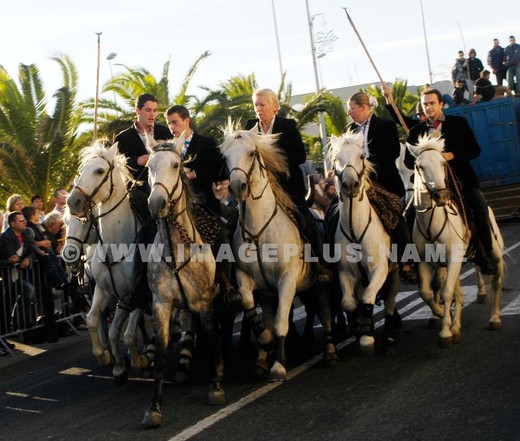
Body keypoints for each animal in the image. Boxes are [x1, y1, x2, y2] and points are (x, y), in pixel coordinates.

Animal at [66, 142, 149, 382]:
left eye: (99, 171)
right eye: (81, 171)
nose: (73, 201)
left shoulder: (134, 293)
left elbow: (126, 334)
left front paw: (138, 360)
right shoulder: (104, 290)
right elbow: (94, 321)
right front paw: (109, 359)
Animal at [142, 136, 225, 428]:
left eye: (176, 165)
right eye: (149, 166)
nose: (157, 203)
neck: (176, 249)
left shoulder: (206, 300)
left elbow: (212, 338)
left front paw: (215, 387)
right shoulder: (161, 305)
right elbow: (161, 353)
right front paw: (153, 408)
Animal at [219, 125, 338, 380]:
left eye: (251, 153)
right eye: (225, 157)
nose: (236, 187)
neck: (259, 232)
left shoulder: (287, 280)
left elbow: (281, 321)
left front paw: (278, 365)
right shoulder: (247, 281)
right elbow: (255, 313)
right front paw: (264, 345)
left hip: (320, 285)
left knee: (324, 312)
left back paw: (330, 352)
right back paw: (261, 359)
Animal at [332, 131, 400, 354]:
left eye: (361, 156)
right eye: (336, 159)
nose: (350, 185)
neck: (356, 229)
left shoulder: (380, 269)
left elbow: (369, 298)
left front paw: (367, 339)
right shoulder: (345, 272)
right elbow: (349, 303)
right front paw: (358, 327)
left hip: (395, 272)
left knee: (389, 302)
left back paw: (389, 336)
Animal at [408, 135, 502, 348]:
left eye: (443, 163)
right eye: (420, 166)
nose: (441, 196)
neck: (431, 223)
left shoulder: (453, 258)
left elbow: (447, 292)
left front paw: (445, 332)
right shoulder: (425, 261)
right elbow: (426, 292)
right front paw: (440, 316)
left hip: (495, 254)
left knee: (496, 282)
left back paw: (494, 319)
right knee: (458, 294)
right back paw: (456, 326)